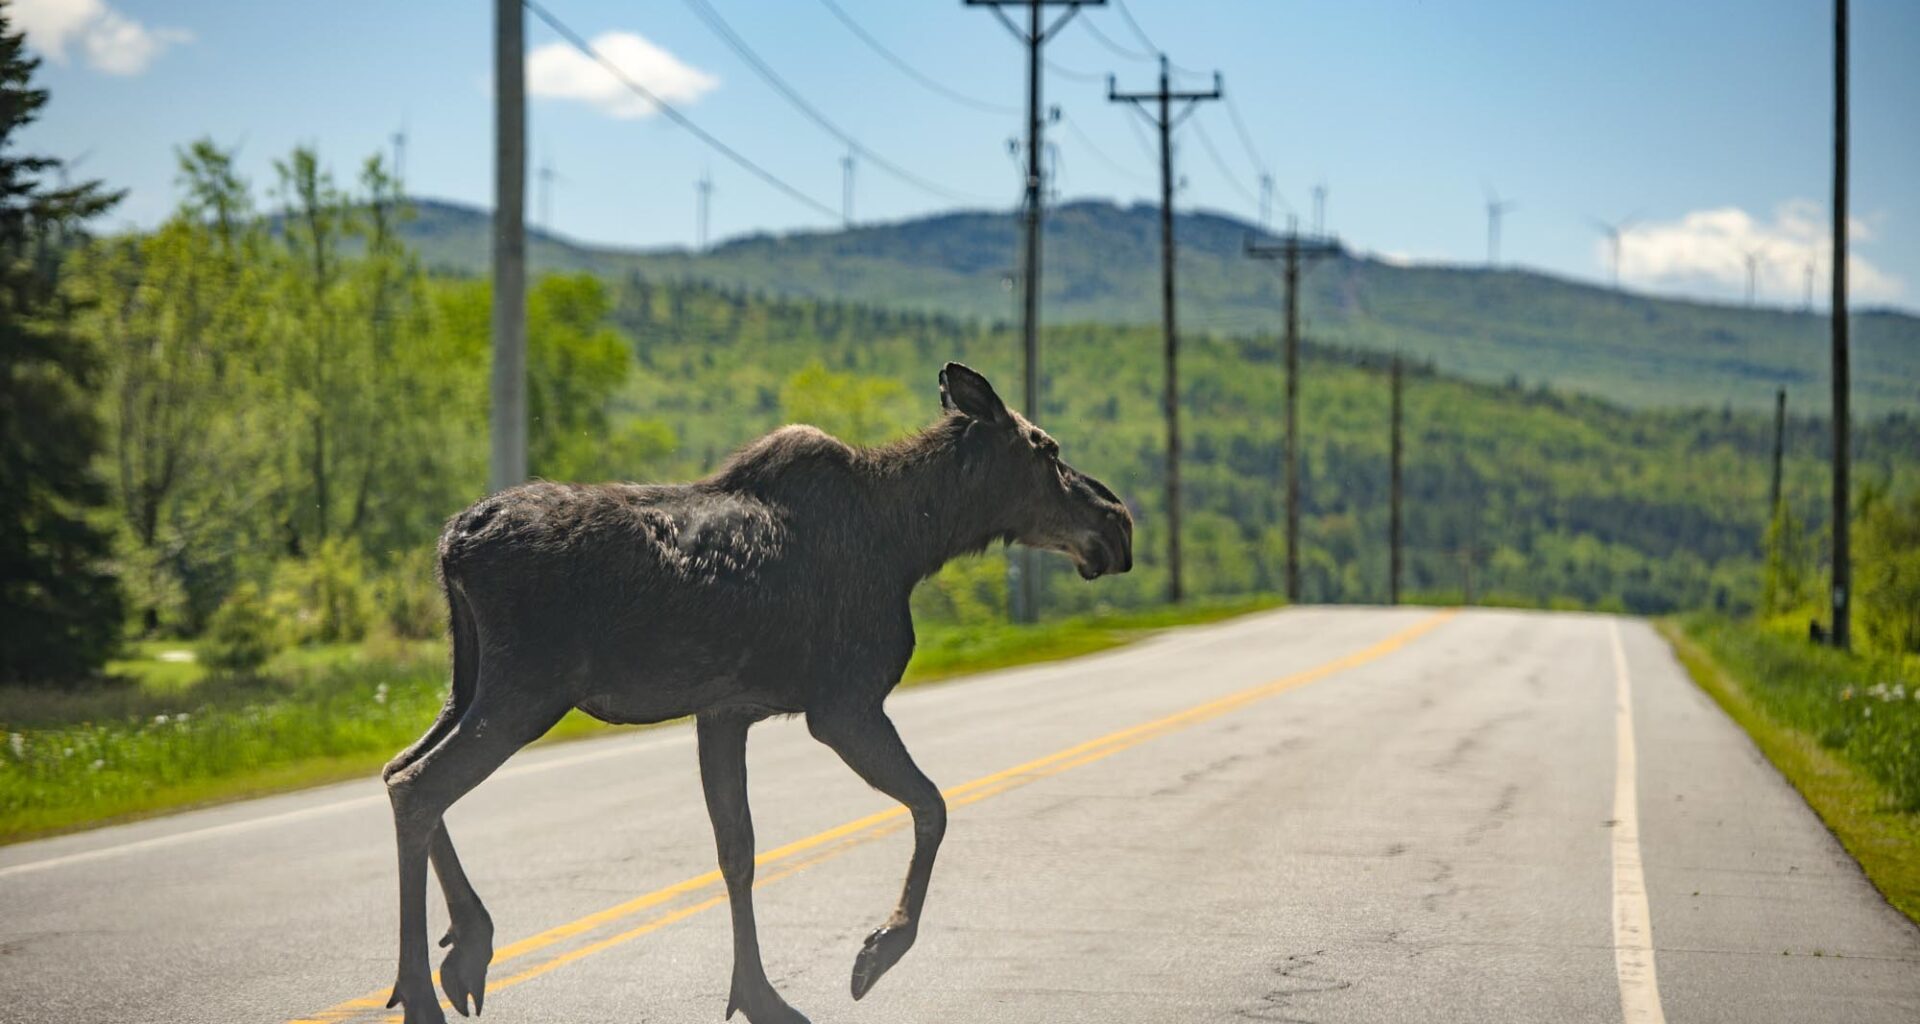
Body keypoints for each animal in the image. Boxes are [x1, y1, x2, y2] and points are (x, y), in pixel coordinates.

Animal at [380, 363, 1134, 1024]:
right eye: (1047, 450)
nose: (1119, 522)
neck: (912, 540)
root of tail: (453, 541)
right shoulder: (843, 706)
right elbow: (933, 806)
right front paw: (877, 950)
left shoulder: (725, 711)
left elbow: (737, 853)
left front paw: (757, 994)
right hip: (526, 690)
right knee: (420, 784)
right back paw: (422, 989)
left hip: (469, 681)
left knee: (396, 768)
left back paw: (468, 944)